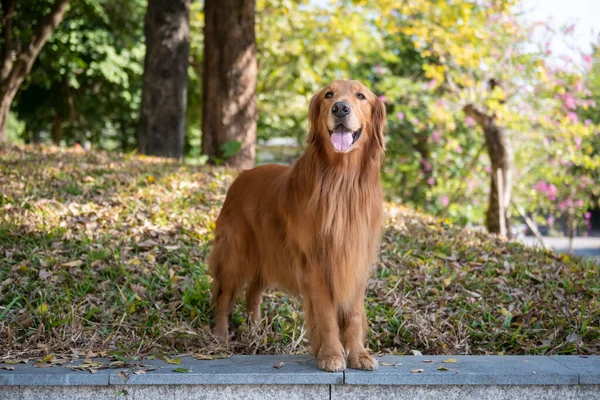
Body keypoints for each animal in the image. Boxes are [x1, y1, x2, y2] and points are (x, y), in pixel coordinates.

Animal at [209, 79, 386, 372]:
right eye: (329, 95)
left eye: (361, 96)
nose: (340, 108)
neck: (342, 181)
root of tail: (241, 176)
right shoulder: (315, 262)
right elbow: (326, 315)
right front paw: (331, 355)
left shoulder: (356, 259)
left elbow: (353, 314)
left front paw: (359, 354)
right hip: (237, 252)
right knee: (224, 295)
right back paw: (221, 336)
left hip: (268, 254)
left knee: (253, 292)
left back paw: (255, 331)